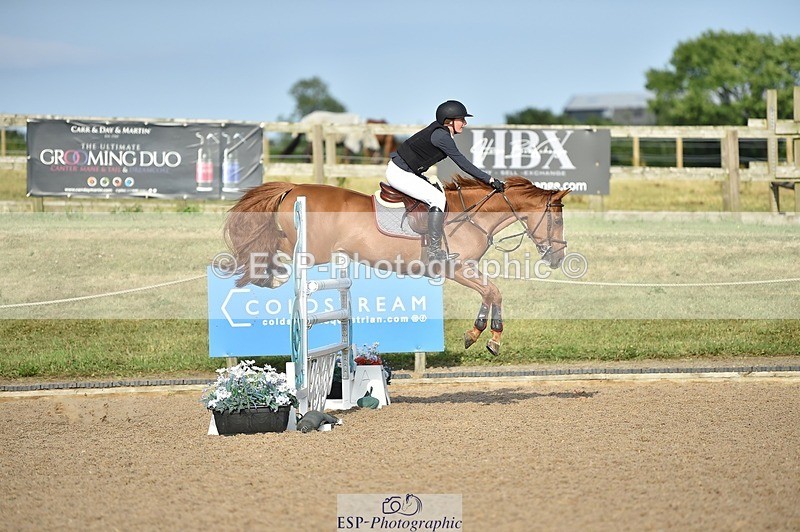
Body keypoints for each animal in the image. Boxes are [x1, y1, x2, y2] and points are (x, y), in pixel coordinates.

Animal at [223, 176, 569, 356]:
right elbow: (494, 291)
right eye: (557, 220)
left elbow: (490, 293)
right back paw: (264, 275)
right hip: (312, 250)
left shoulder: (466, 269)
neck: (472, 214)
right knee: (267, 245)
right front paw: (490, 338)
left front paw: (477, 334)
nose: (557, 258)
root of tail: (292, 187)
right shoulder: (455, 268)